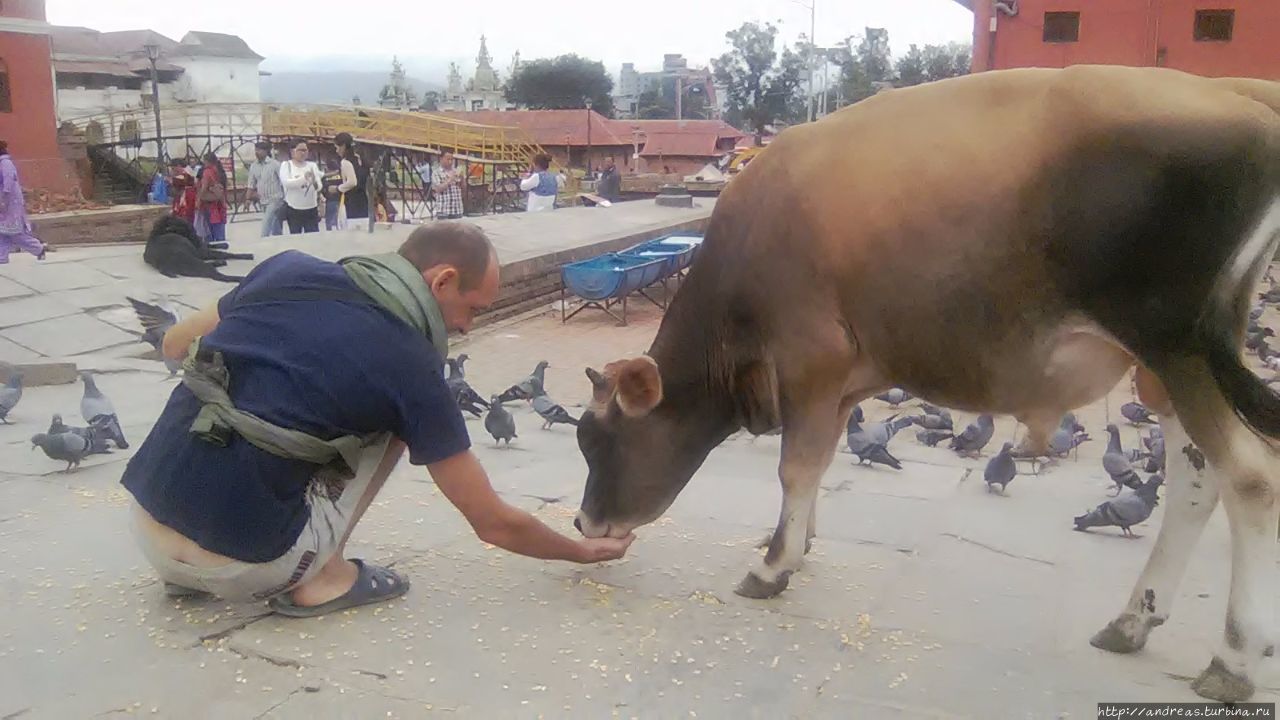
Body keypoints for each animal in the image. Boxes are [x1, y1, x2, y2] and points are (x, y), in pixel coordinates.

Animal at [573, 64, 1280, 696]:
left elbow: (794, 469)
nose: (583, 523)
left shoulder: (811, 362)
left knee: (1251, 479)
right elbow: (818, 465)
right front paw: (798, 544)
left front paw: (773, 566)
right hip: (1165, 370)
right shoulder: (841, 383)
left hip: (1180, 348)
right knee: (1195, 482)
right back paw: (1134, 620)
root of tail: (1235, 91)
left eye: (602, 441)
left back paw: (1233, 659)